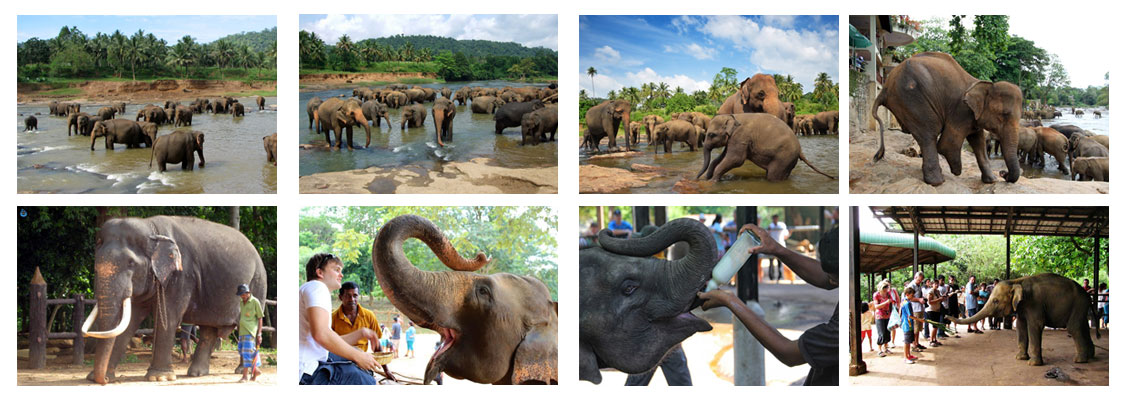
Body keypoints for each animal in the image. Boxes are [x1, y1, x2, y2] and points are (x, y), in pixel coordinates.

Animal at [83, 215, 266, 384]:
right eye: (96, 264)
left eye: (131, 263)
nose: (104, 380)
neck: (151, 228)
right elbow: (129, 321)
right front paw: (96, 377)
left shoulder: (181, 275)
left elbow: (169, 318)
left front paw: (159, 377)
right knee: (209, 328)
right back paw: (197, 373)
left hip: (258, 282)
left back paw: (241, 371)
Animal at [697, 113, 837, 182]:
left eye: (712, 135)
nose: (697, 178)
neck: (732, 117)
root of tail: (800, 150)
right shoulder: (734, 139)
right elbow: (722, 157)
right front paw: (708, 177)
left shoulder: (741, 136)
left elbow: (736, 159)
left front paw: (712, 181)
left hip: (784, 157)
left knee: (773, 176)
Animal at [872, 52, 1023, 186]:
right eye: (1004, 115)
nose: (1003, 173)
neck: (983, 84)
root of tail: (884, 88)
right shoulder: (961, 111)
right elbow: (947, 144)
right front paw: (957, 171)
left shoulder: (973, 117)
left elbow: (978, 140)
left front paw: (991, 180)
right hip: (911, 99)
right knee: (929, 134)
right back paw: (937, 182)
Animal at [947, 273, 1098, 366]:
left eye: (995, 301)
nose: (946, 316)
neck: (1016, 281)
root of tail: (1087, 295)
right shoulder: (1022, 306)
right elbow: (1020, 326)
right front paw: (1020, 358)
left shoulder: (1034, 303)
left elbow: (1035, 325)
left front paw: (1033, 364)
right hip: (1080, 307)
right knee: (1083, 327)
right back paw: (1090, 356)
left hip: (1078, 305)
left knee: (1074, 328)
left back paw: (1079, 360)